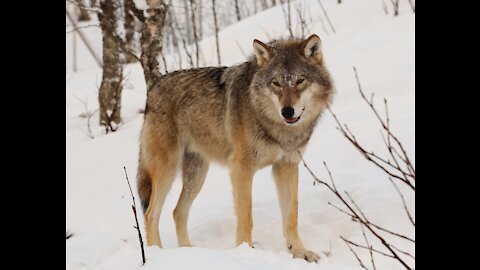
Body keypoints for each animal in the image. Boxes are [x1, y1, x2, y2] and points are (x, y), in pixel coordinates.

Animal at [137, 33, 334, 262]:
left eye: (300, 80)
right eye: (276, 83)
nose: (287, 111)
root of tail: (153, 87)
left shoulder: (286, 166)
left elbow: (291, 214)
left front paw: (300, 252)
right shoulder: (241, 168)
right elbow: (246, 215)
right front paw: (246, 252)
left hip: (197, 175)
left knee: (178, 212)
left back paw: (190, 252)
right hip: (167, 170)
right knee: (150, 214)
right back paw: (157, 255)